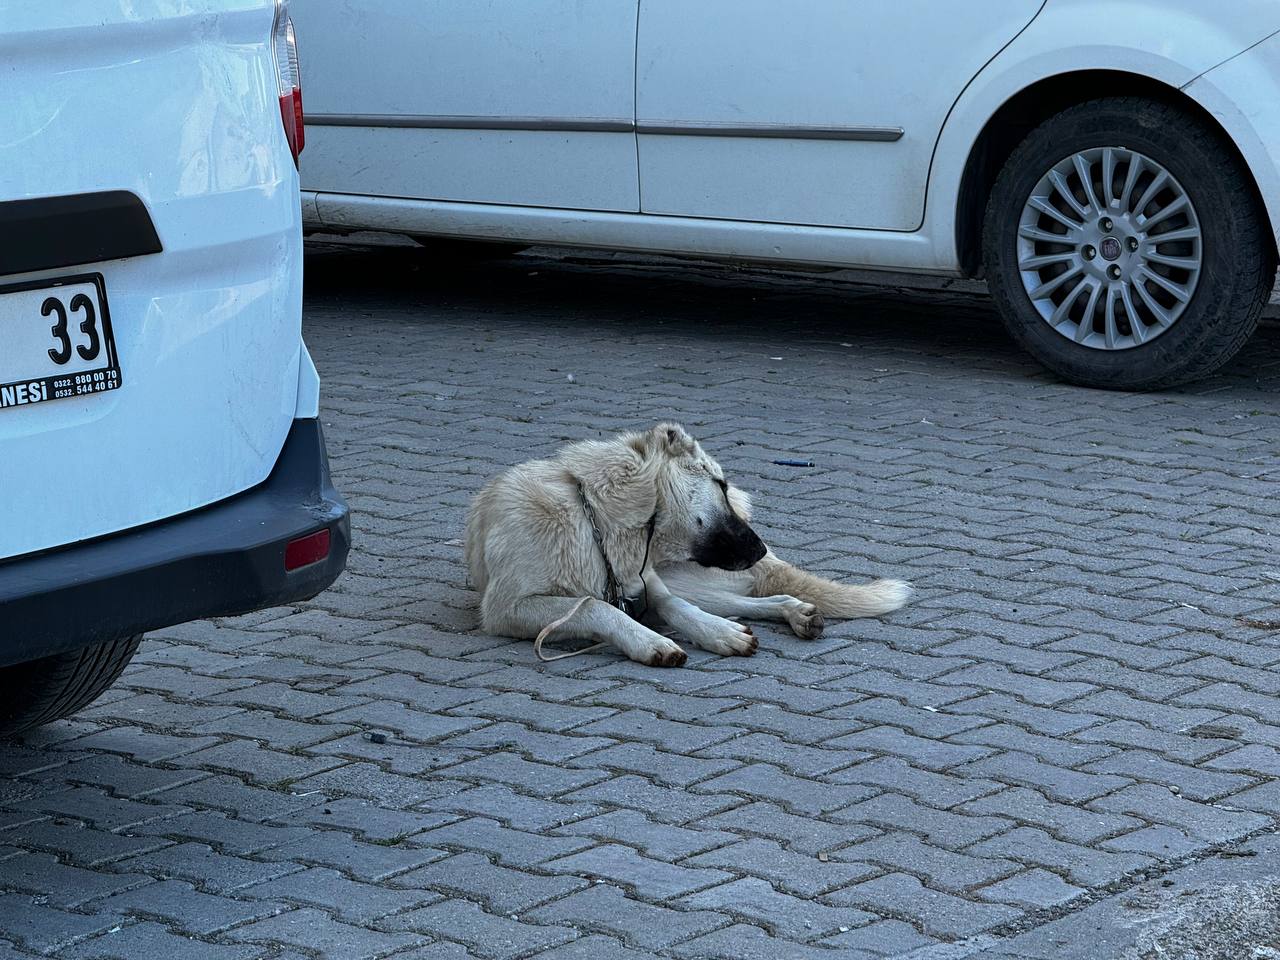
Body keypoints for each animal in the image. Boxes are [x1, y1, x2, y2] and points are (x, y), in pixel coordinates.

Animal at [468, 424, 911, 665]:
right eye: (721, 485)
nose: (760, 549)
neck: (597, 520)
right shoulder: (508, 608)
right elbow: (595, 606)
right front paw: (649, 641)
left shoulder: (646, 584)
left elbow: (674, 607)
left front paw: (716, 633)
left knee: (734, 598)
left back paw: (786, 613)